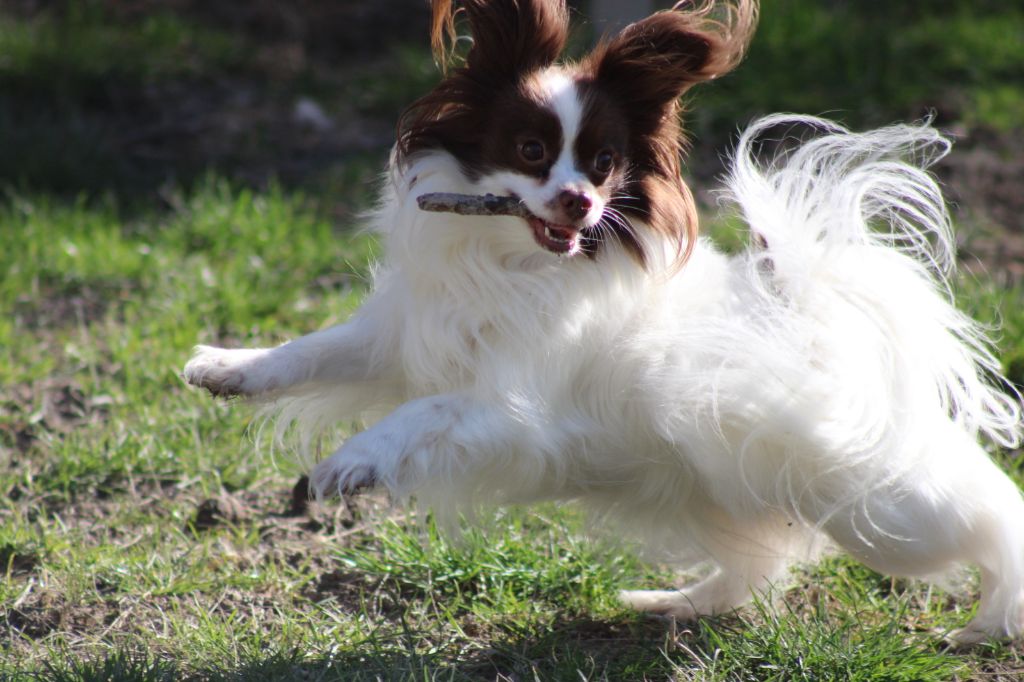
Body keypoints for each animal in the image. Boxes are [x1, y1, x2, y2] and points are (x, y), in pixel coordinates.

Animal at [184, 0, 1024, 643]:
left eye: (604, 163)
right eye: (530, 149)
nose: (580, 202)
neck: (511, 262)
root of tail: (830, 328)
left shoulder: (506, 409)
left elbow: (419, 415)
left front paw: (349, 463)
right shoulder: (397, 338)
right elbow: (310, 351)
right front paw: (224, 367)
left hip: (893, 510)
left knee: (991, 516)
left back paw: (989, 623)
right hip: (727, 488)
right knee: (760, 564)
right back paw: (675, 604)